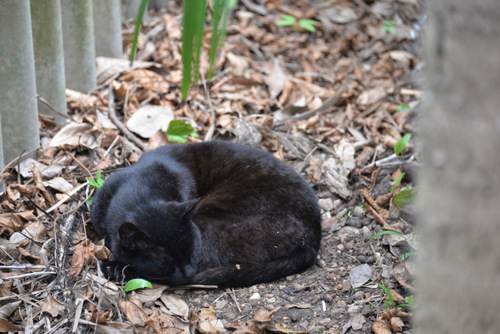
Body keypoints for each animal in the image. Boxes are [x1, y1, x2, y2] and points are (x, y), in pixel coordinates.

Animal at [91, 140, 320, 288]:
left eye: (192, 251)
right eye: (166, 263)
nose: (188, 273)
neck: (141, 186)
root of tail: (314, 237)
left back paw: (113, 268)